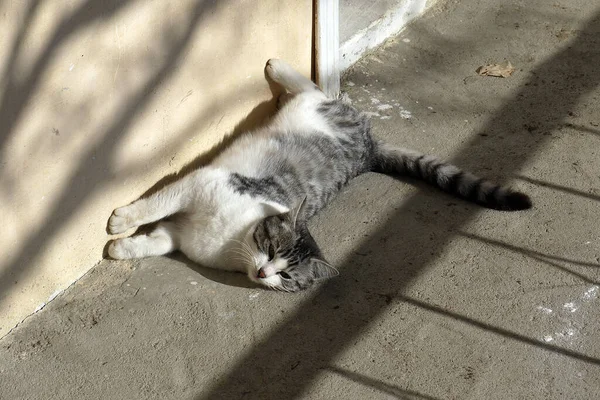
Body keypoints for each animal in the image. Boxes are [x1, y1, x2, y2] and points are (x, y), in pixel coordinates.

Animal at [106, 58, 528, 290]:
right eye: (272, 250)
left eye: (288, 276)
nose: (264, 273)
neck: (229, 242)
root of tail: (370, 150)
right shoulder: (199, 184)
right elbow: (155, 205)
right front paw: (120, 223)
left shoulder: (183, 232)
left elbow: (157, 241)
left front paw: (122, 247)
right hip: (313, 110)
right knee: (313, 87)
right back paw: (277, 66)